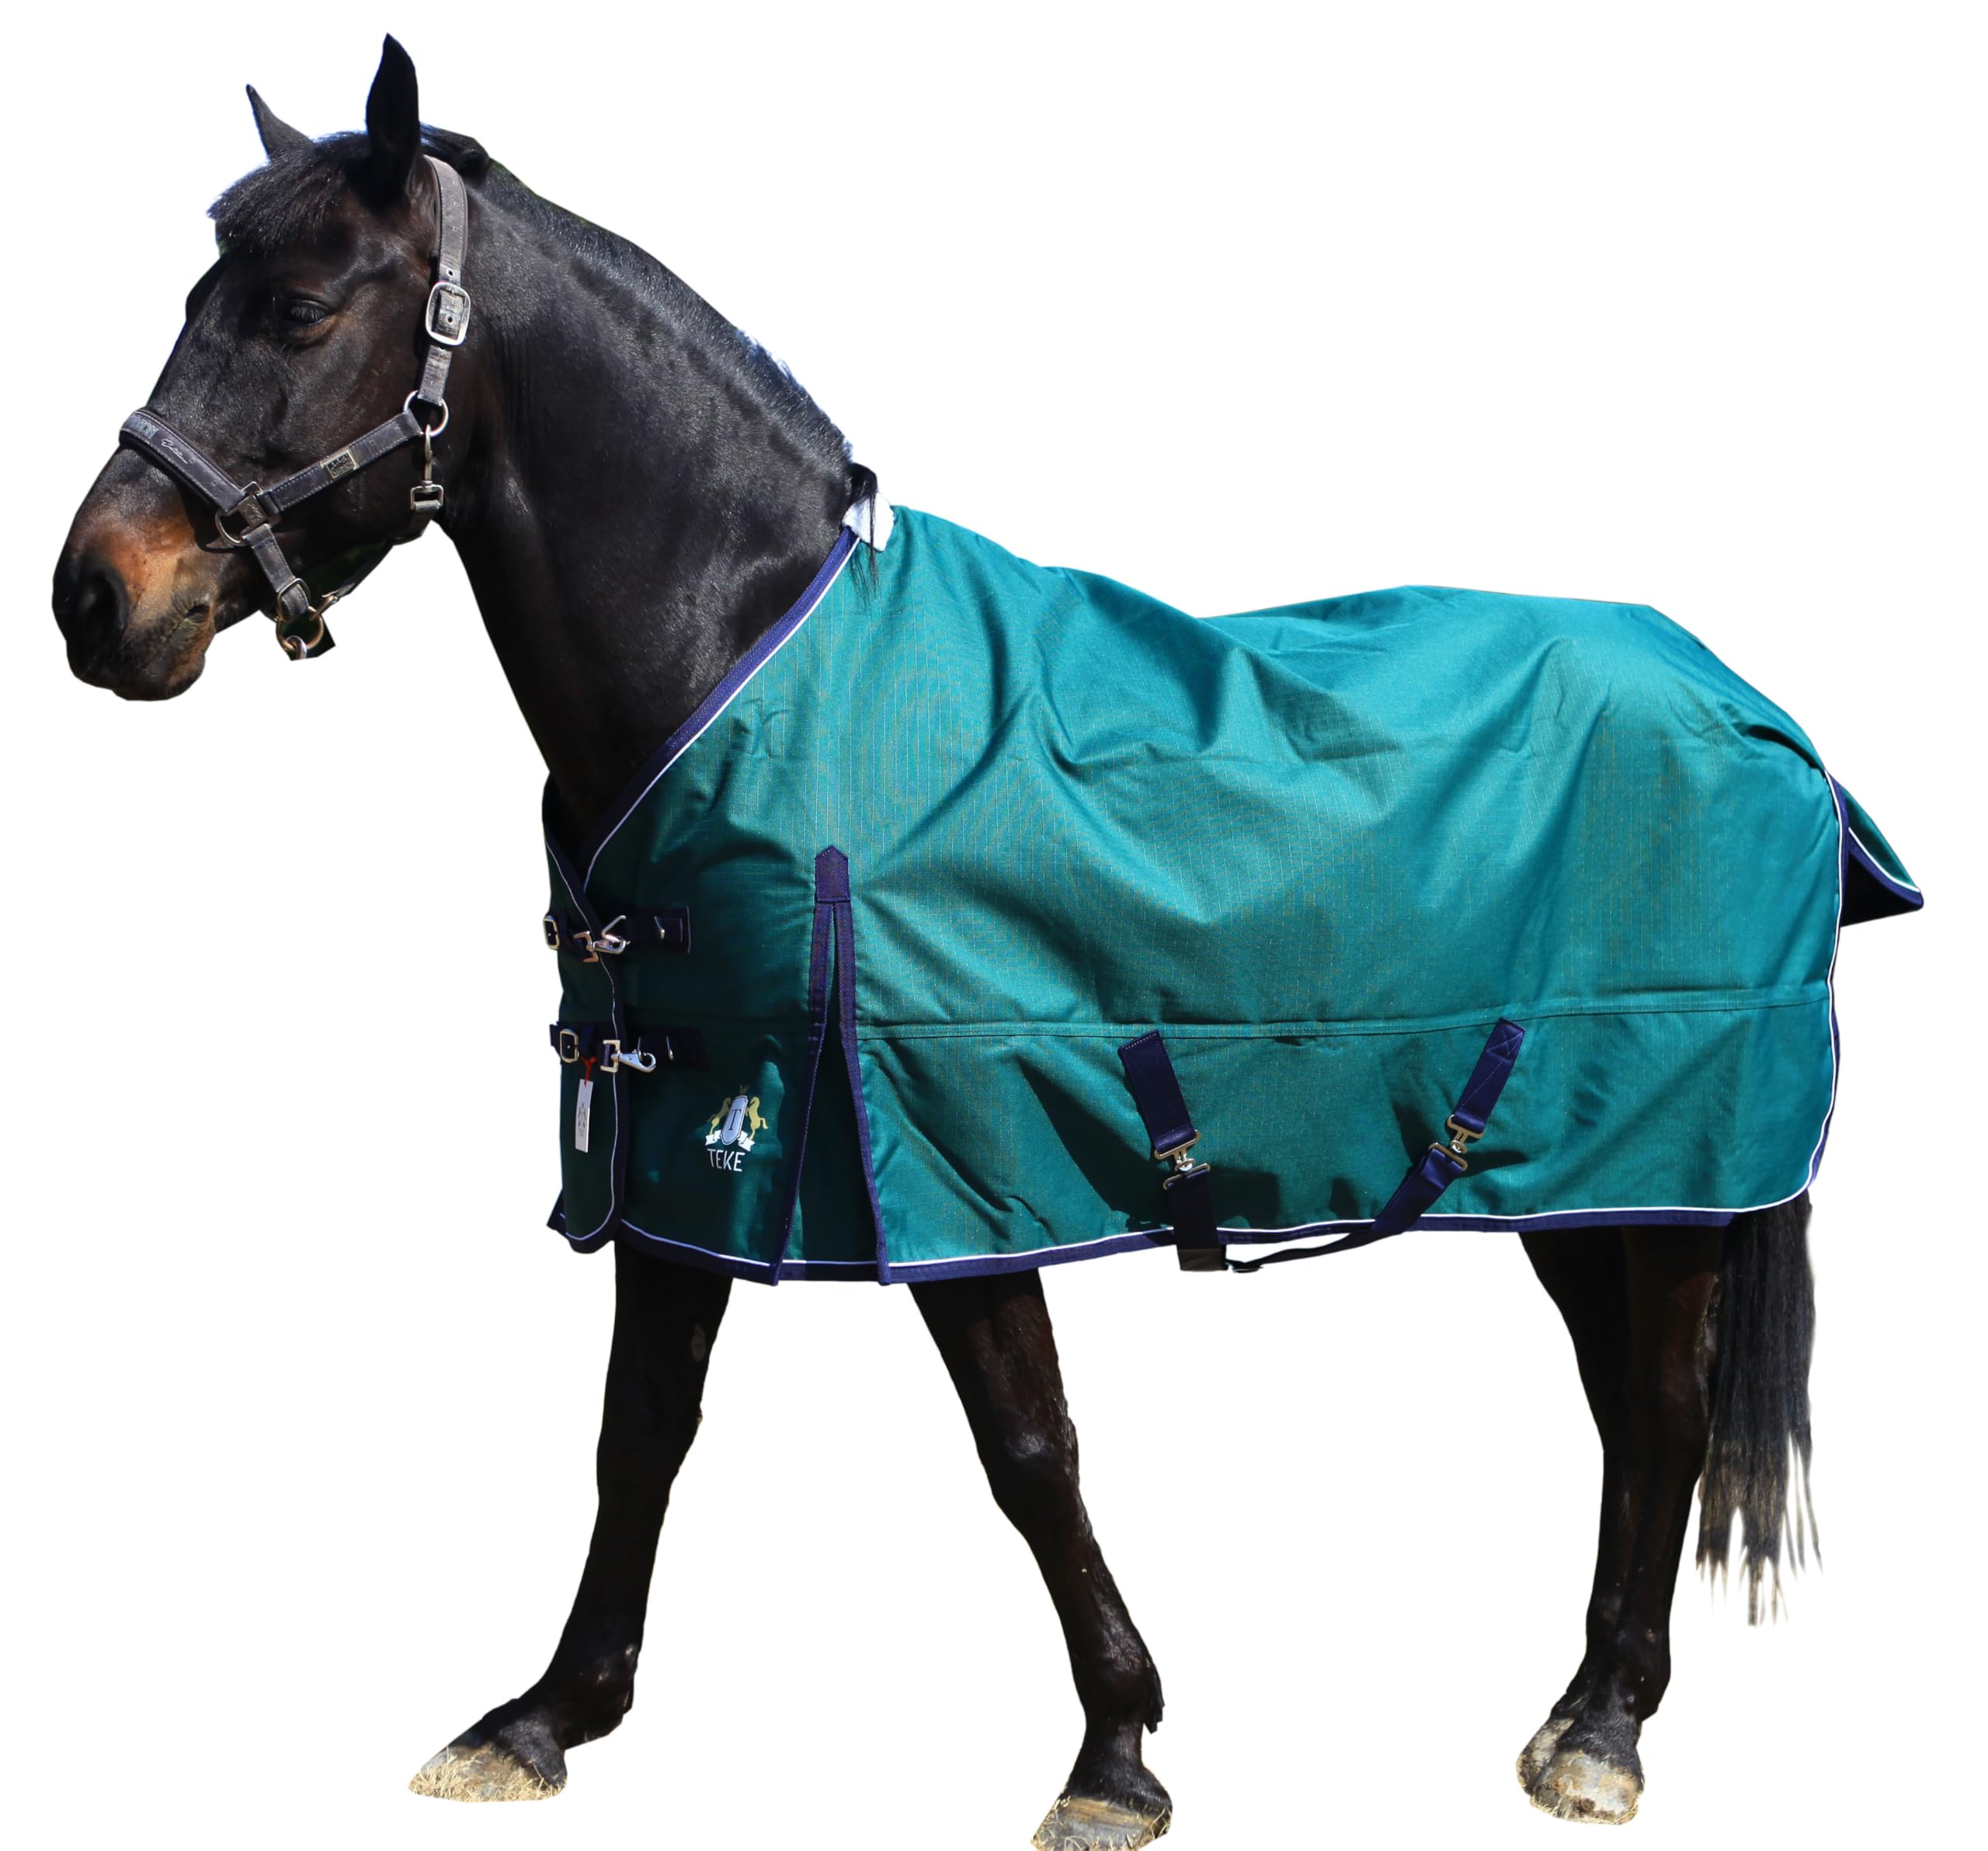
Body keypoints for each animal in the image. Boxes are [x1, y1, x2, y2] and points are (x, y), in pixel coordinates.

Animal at [50, 37, 1919, 1848]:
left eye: (303, 306)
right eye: (197, 292)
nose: (93, 598)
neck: (746, 661)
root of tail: (1752, 703)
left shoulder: (945, 1142)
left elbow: (1027, 1449)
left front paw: (1116, 1753)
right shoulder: (689, 1124)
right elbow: (639, 1433)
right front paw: (542, 1718)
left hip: (1665, 1153)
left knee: (1664, 1413)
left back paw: (1601, 1733)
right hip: (1573, 1177)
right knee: (1623, 1407)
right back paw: (1589, 1700)